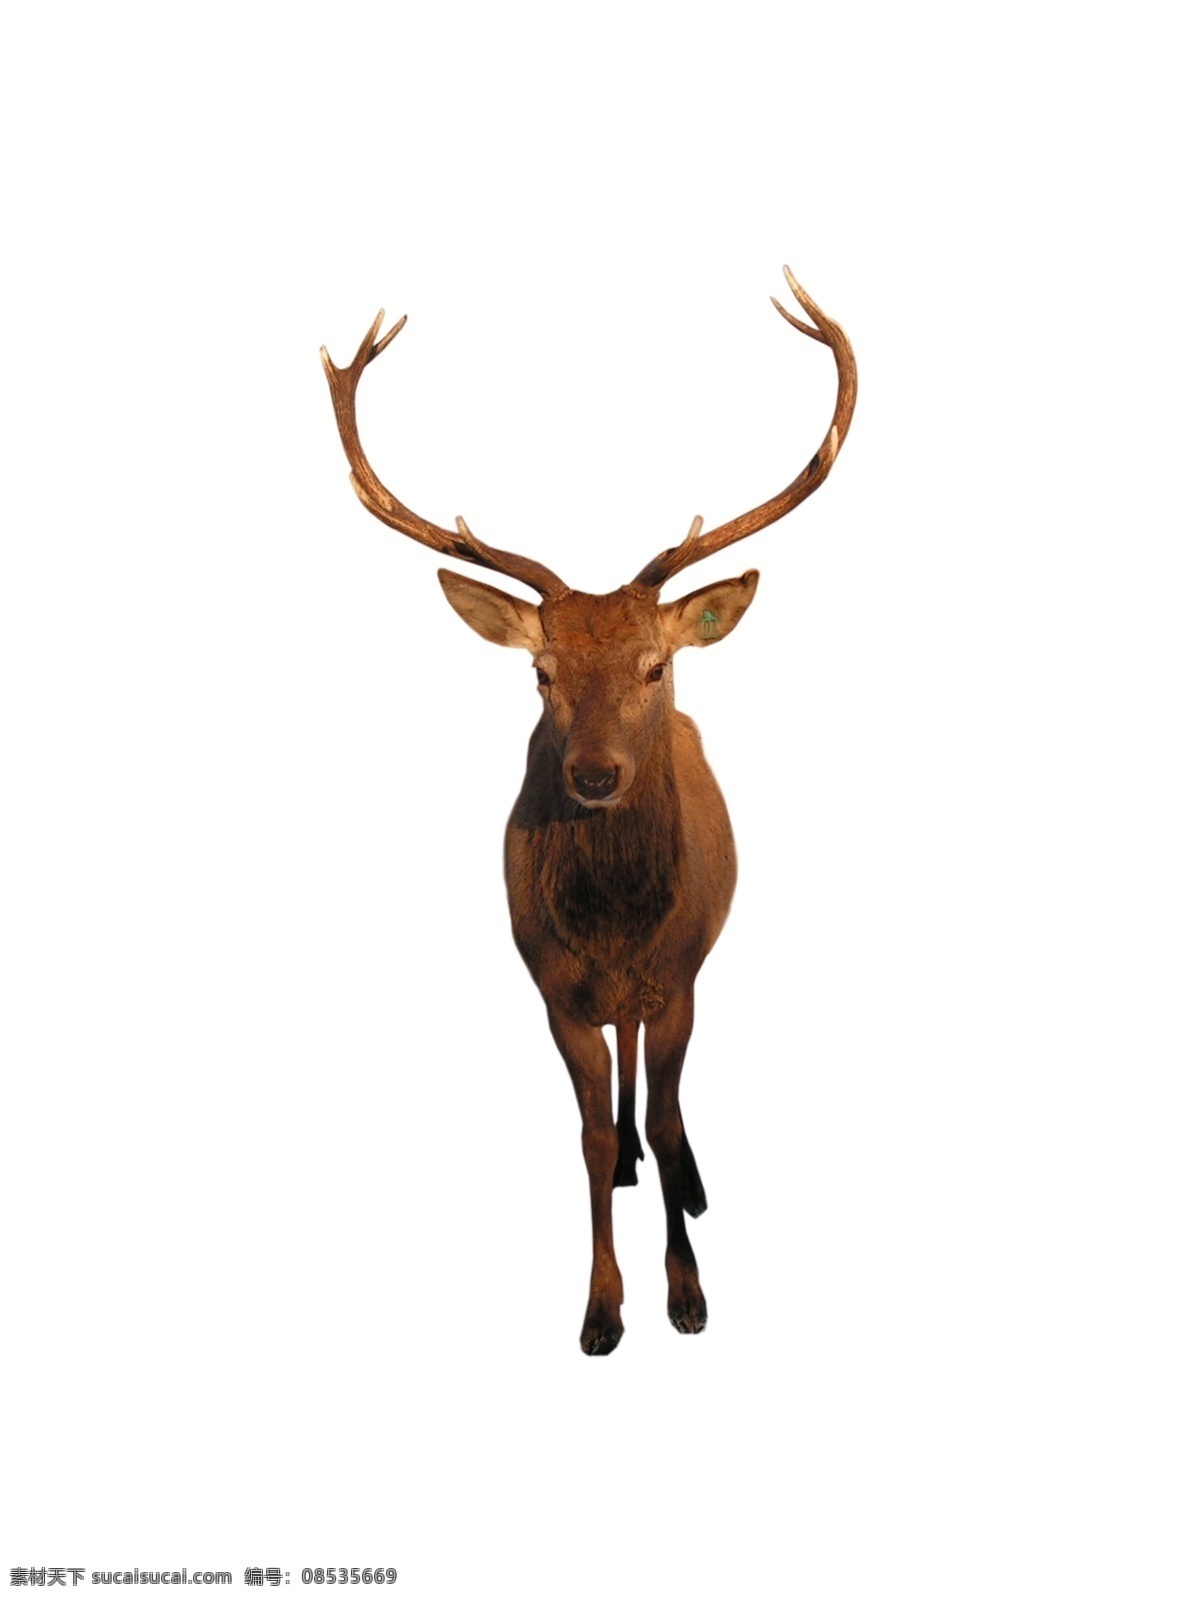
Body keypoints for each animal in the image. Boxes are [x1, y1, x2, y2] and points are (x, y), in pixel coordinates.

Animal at [321, 269, 856, 1354]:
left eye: (655, 664)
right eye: (541, 671)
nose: (596, 775)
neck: (613, 932)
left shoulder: (679, 974)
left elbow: (662, 1114)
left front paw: (687, 1294)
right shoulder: (552, 988)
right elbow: (591, 1133)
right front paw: (603, 1308)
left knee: (659, 1088)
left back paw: (685, 1182)